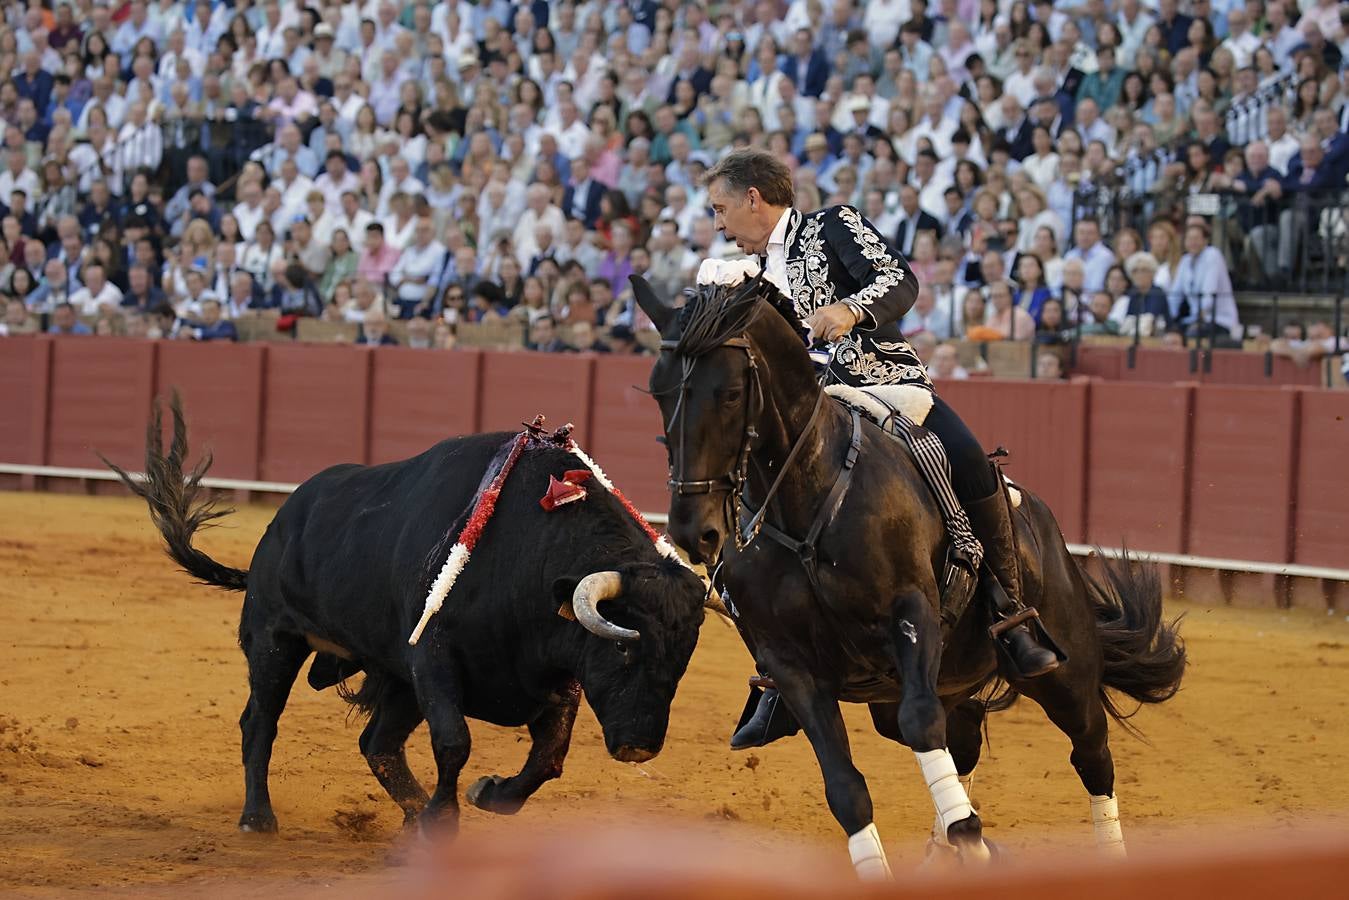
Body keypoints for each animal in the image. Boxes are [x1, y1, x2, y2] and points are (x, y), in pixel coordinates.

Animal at [111, 396, 706, 836]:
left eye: (681, 660)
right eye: (622, 644)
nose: (639, 745)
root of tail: (282, 519)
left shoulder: (554, 678)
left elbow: (548, 759)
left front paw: (488, 795)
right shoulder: (433, 661)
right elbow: (454, 742)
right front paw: (444, 822)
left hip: (394, 678)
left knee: (377, 744)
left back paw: (411, 815)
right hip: (275, 640)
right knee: (261, 721)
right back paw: (258, 818)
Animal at [631, 276, 1181, 879]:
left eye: (730, 393)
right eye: (658, 394)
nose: (695, 532)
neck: (806, 504)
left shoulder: (911, 613)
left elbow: (922, 724)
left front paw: (970, 837)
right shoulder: (790, 664)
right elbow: (846, 787)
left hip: (1065, 672)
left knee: (1091, 753)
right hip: (914, 692)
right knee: (963, 741)